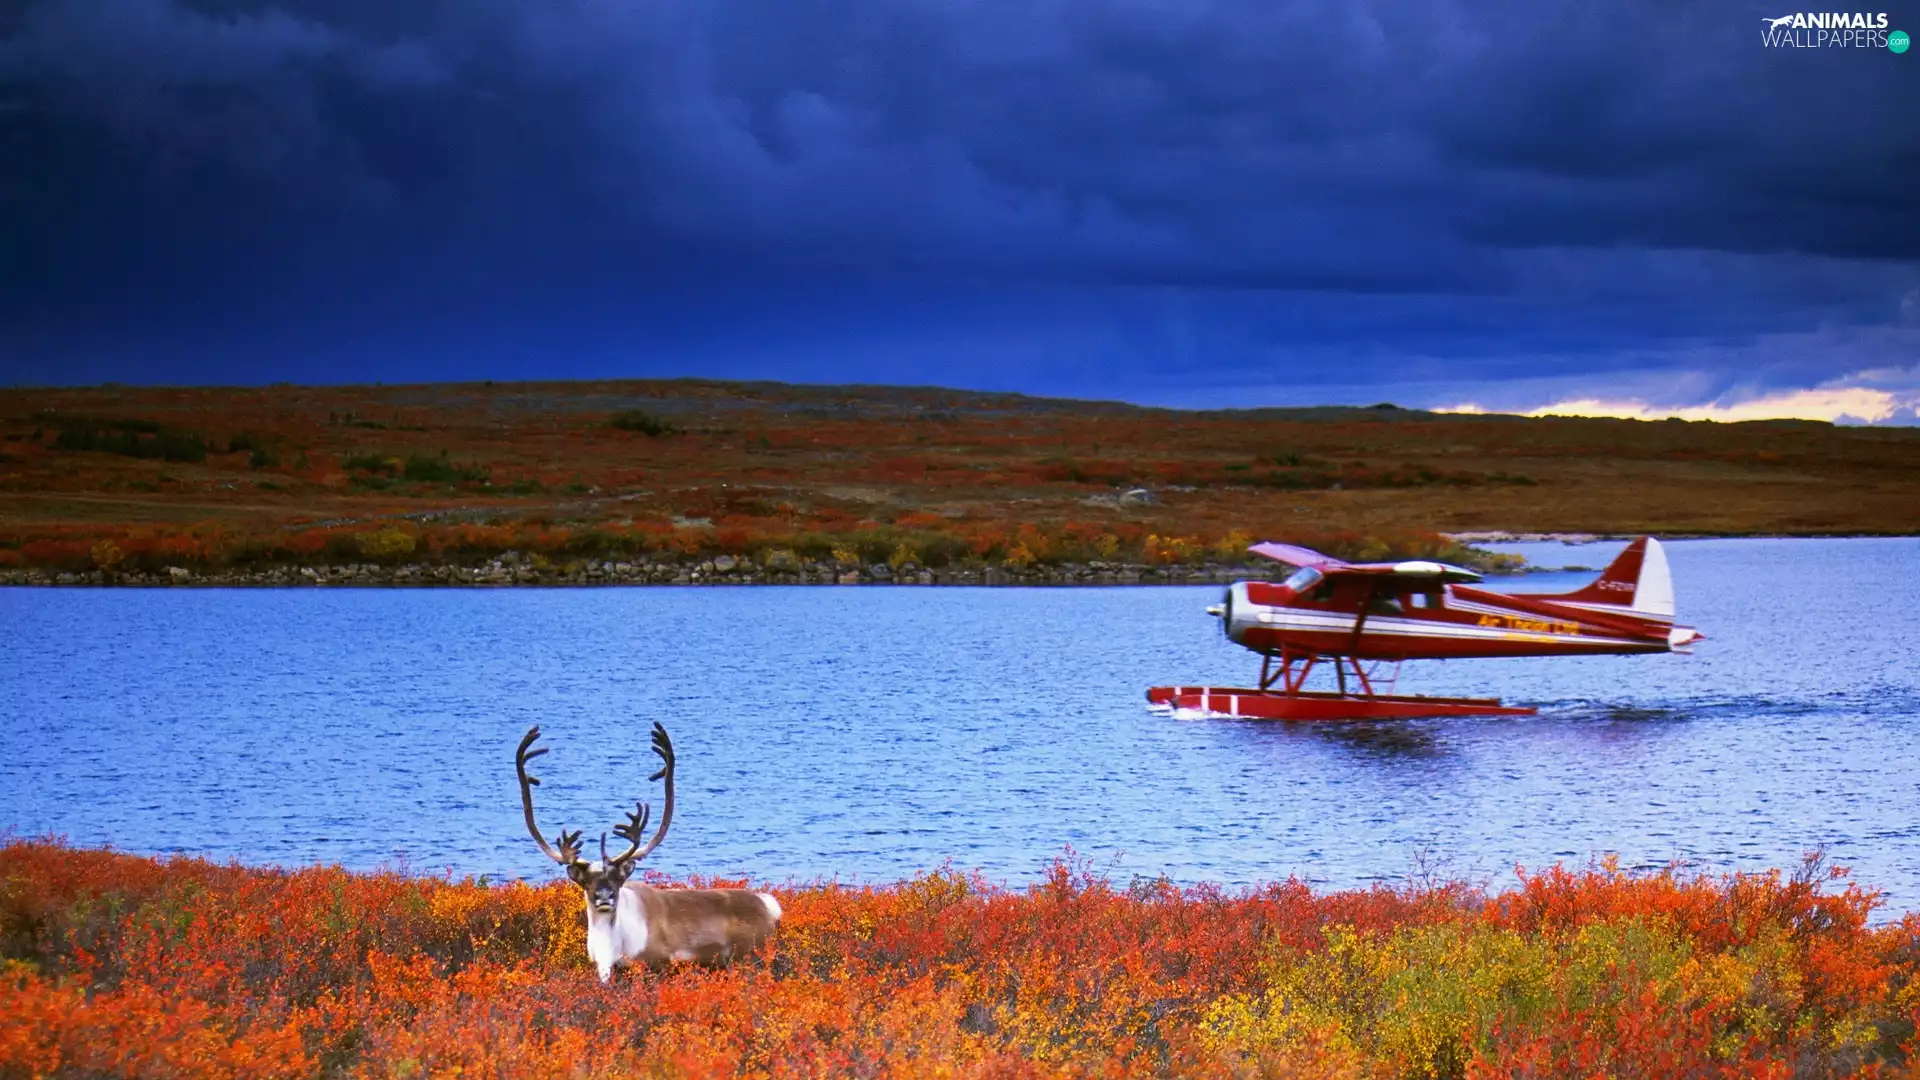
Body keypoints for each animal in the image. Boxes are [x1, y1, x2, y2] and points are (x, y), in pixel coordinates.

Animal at [515, 721, 782, 981]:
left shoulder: (657, 962)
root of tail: (769, 905)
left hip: (751, 959)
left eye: (617, 878)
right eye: (587, 881)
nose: (604, 897)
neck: (609, 948)